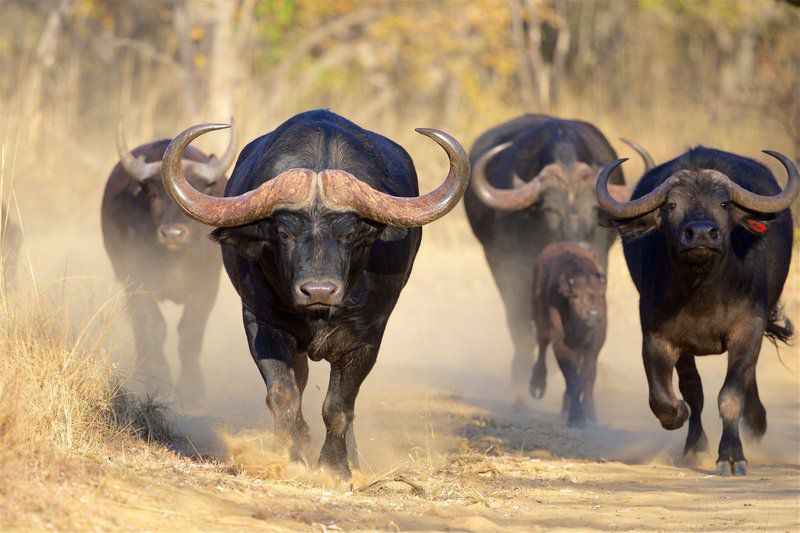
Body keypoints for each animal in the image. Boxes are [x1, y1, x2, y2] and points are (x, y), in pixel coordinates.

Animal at [101, 120, 236, 394]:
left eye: (196, 191)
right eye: (153, 195)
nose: (172, 233)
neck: (175, 262)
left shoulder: (207, 285)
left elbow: (191, 329)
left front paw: (192, 386)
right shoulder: (138, 280)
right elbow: (153, 325)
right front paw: (158, 377)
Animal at [161, 110, 468, 476]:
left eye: (349, 234)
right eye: (284, 233)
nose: (318, 290)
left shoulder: (368, 337)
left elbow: (339, 405)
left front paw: (335, 467)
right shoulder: (261, 323)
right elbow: (284, 394)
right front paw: (288, 455)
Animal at [466, 114, 640, 402]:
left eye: (593, 207)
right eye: (549, 209)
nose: (579, 245)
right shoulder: (510, 265)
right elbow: (523, 325)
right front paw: (522, 378)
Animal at [596, 144, 796, 474]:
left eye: (724, 203)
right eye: (672, 204)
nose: (701, 233)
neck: (702, 291)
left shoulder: (747, 329)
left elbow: (731, 395)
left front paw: (732, 456)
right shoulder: (657, 337)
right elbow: (668, 398)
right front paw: (683, 422)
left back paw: (756, 424)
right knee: (694, 389)